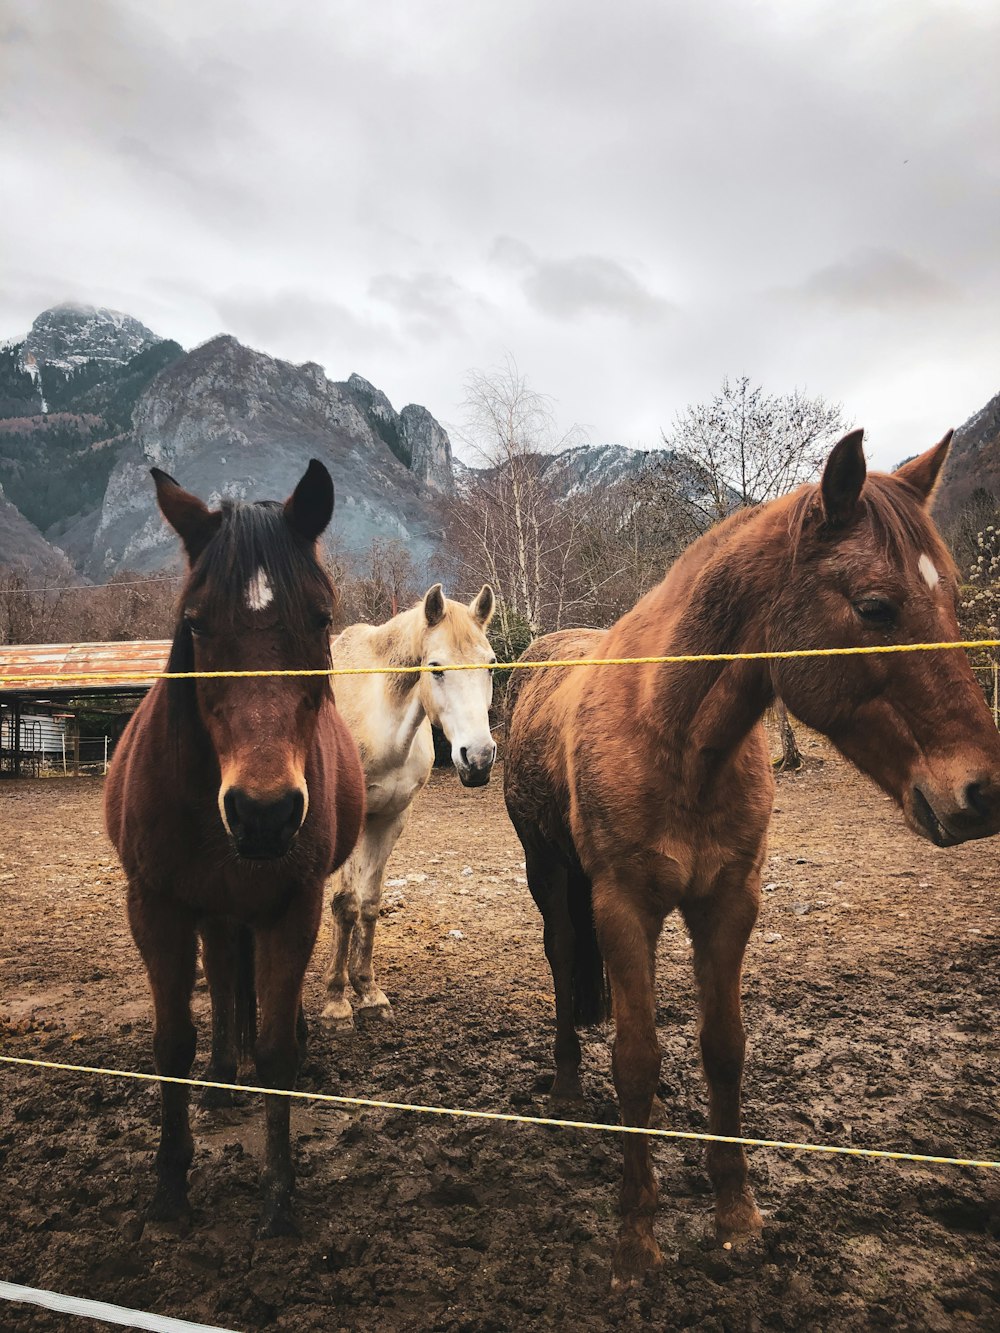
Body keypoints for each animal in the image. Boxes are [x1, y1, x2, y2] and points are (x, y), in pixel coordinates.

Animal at [106, 461, 365, 1237]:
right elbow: (172, 1044)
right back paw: (222, 1077)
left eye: (321, 616)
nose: (264, 815)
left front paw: (279, 1196)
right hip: (213, 912)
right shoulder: (156, 907)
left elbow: (276, 1047)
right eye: (195, 622)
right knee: (222, 980)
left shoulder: (291, 906)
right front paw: (170, 1189)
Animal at [322, 583, 498, 1029]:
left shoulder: (390, 819)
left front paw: (369, 992)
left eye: (490, 665)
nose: (478, 758)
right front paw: (336, 1002)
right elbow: (345, 904)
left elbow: (369, 903)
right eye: (436, 668)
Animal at [504, 431, 1000, 1285]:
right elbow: (635, 1056)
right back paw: (566, 1084)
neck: (673, 739)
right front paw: (635, 1240)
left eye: (953, 603)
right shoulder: (621, 903)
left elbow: (724, 1048)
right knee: (565, 961)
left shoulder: (729, 901)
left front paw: (736, 1216)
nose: (985, 791)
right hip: (553, 877)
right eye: (875, 607)